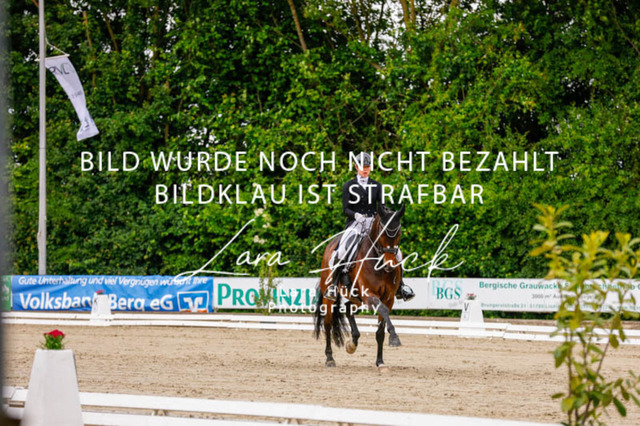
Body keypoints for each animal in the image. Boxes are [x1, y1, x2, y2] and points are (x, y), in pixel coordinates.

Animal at [313, 203, 405, 371]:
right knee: (328, 324)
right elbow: (383, 311)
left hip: (357, 298)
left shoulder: (388, 299)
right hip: (331, 296)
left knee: (348, 308)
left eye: (399, 233)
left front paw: (380, 362)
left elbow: (380, 331)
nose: (390, 264)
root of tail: (331, 244)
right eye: (382, 233)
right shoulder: (370, 294)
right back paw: (330, 358)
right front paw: (395, 338)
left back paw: (352, 343)